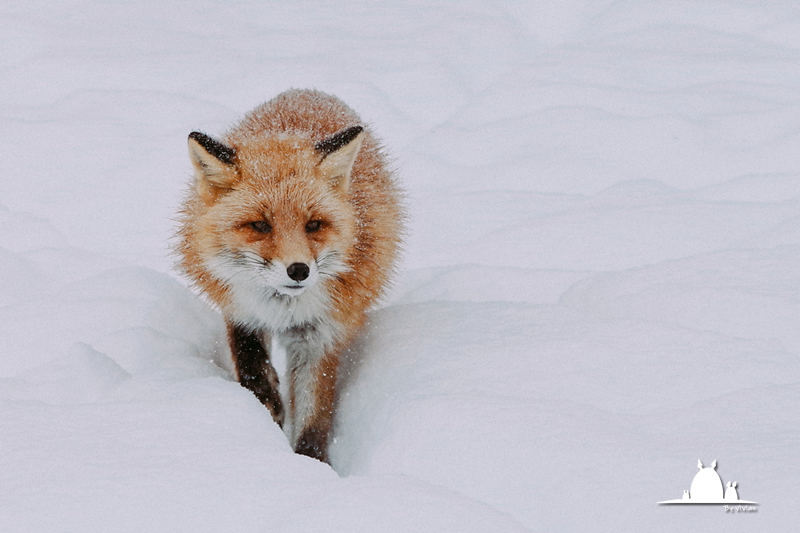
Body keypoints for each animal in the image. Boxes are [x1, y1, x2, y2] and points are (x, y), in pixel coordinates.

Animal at [177, 88, 404, 462]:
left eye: (313, 225)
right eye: (259, 225)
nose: (299, 270)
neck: (282, 307)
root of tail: (306, 92)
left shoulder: (321, 332)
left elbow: (314, 415)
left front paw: (310, 464)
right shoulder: (240, 306)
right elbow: (250, 361)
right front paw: (266, 407)